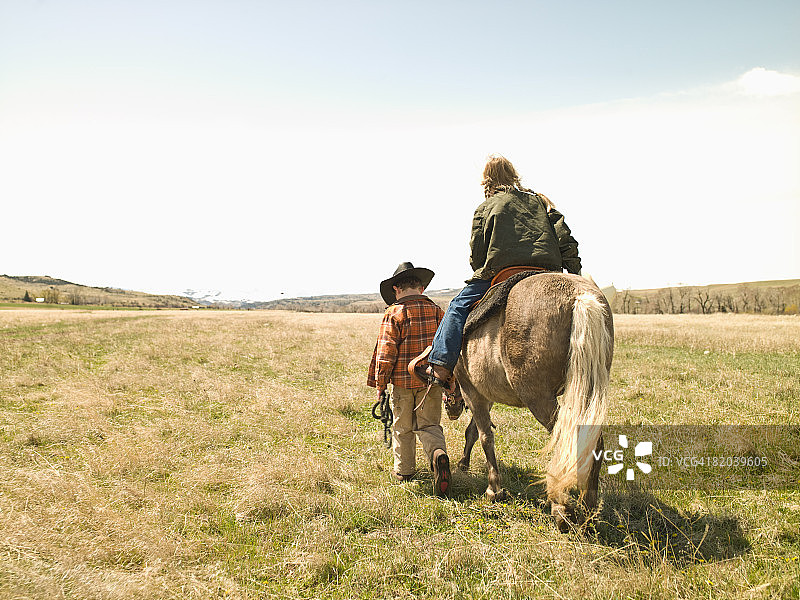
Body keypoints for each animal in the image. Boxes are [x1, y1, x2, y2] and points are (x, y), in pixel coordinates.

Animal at [454, 272, 613, 530]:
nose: (452, 408)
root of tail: (580, 296)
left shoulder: (472, 390)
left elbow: (485, 436)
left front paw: (494, 489)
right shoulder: (486, 395)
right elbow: (474, 432)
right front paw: (464, 464)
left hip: (539, 398)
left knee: (568, 439)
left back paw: (561, 510)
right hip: (586, 390)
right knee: (591, 443)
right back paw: (588, 512)